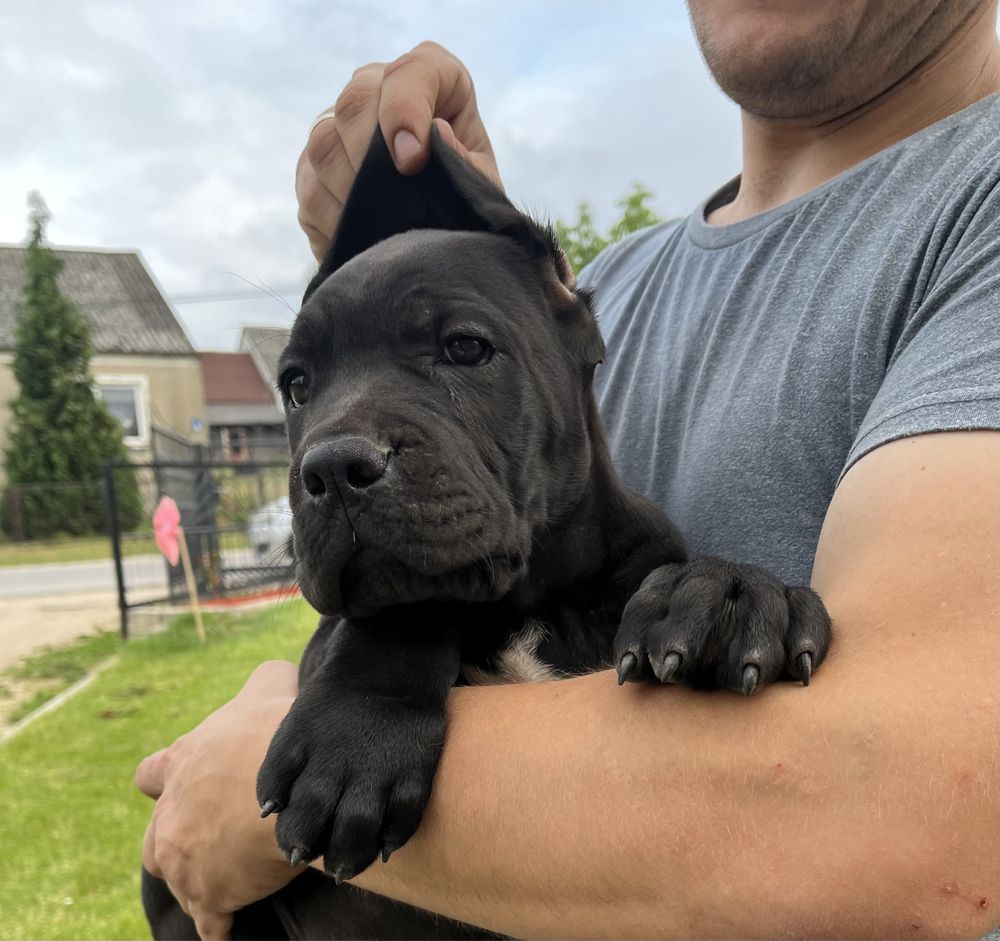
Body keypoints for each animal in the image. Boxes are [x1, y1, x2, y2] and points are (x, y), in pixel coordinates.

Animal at [141, 126, 828, 940]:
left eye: (465, 348)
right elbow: (398, 611)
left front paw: (731, 593)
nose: (333, 468)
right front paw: (352, 739)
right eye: (297, 386)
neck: (529, 598)